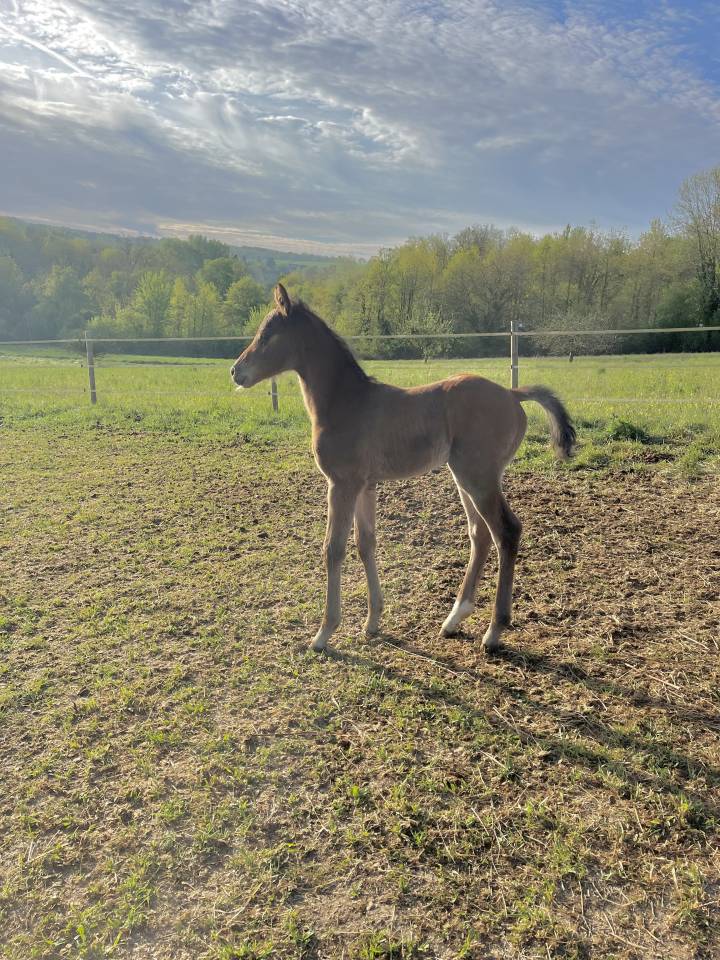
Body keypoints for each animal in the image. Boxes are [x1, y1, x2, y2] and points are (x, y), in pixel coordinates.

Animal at [231, 284, 575, 654]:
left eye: (267, 335)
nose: (235, 371)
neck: (346, 403)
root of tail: (513, 394)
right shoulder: (365, 485)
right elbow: (366, 543)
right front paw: (372, 622)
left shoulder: (341, 484)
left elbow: (333, 549)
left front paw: (323, 634)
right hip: (465, 476)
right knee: (479, 533)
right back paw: (454, 619)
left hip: (478, 476)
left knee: (506, 531)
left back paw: (494, 630)